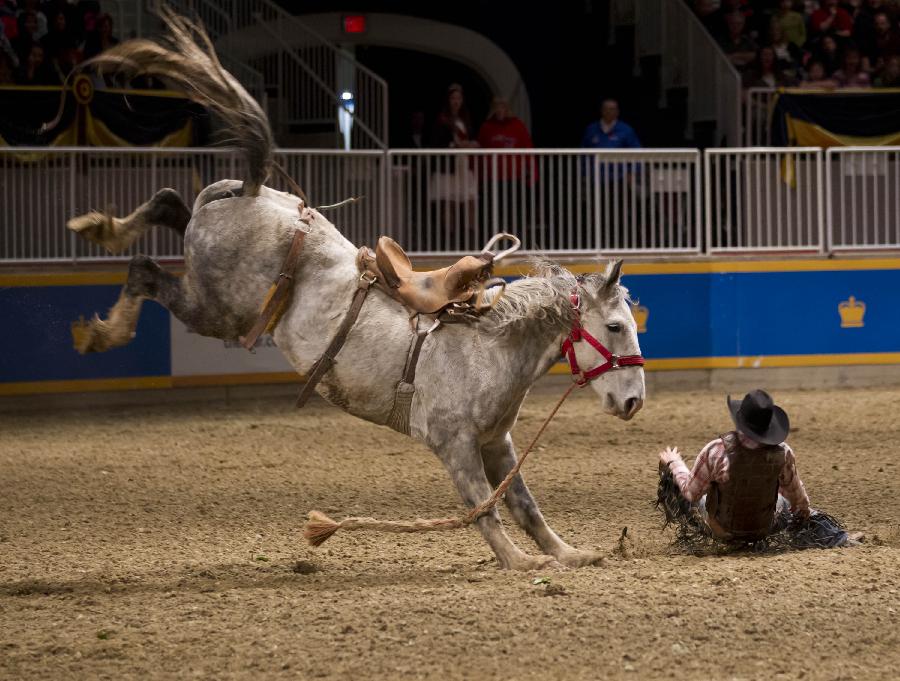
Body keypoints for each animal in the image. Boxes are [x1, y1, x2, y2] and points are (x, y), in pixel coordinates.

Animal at [70, 13, 648, 572]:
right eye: (615, 326)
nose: (634, 401)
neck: (489, 348)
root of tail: (256, 192)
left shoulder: (496, 444)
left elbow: (524, 504)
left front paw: (570, 553)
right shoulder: (455, 445)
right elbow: (483, 509)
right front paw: (520, 561)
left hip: (209, 264)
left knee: (170, 202)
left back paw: (102, 228)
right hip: (216, 307)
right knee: (146, 269)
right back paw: (102, 325)